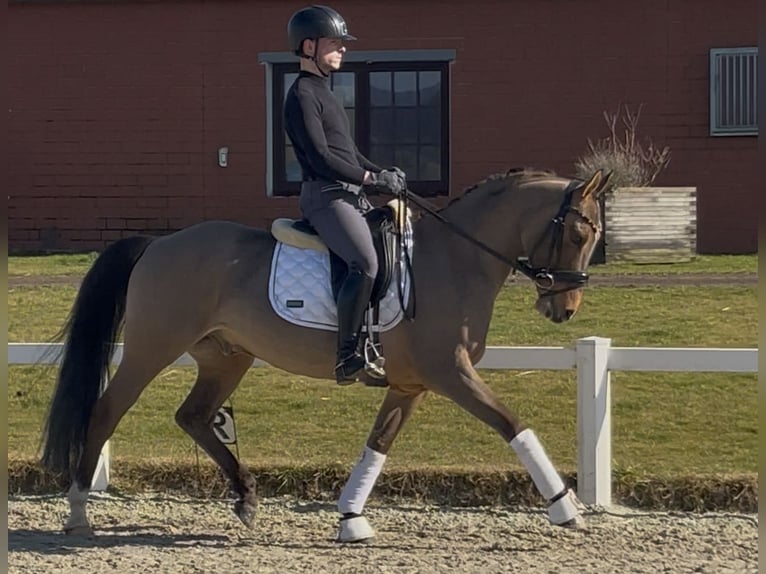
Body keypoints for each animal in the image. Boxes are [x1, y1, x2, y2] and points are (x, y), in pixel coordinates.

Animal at [39, 168, 612, 544]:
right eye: (578, 231)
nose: (565, 308)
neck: (455, 259)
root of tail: (158, 244)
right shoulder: (450, 372)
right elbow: (511, 423)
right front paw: (565, 508)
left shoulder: (411, 384)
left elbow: (378, 445)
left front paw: (351, 518)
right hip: (152, 348)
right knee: (105, 412)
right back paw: (78, 511)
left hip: (227, 356)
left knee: (194, 416)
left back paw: (246, 498)